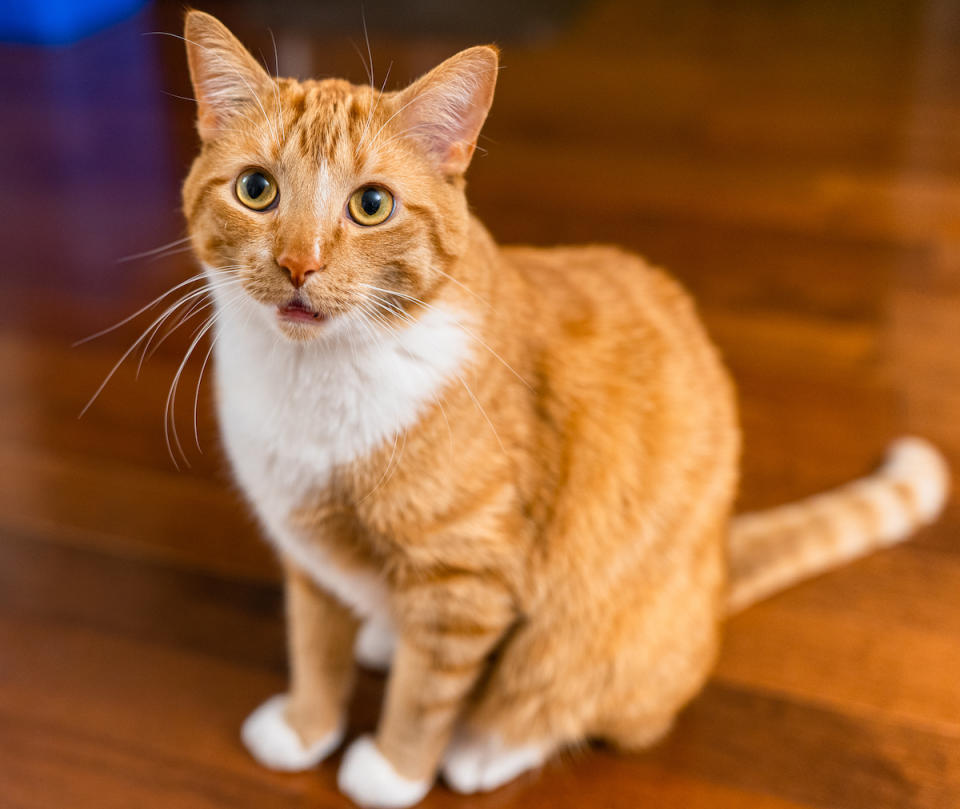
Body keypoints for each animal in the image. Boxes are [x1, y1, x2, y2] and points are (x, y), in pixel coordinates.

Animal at [180, 9, 952, 804]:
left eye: (371, 205)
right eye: (256, 189)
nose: (298, 265)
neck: (310, 384)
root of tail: (717, 571)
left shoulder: (465, 583)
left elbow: (425, 695)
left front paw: (393, 770)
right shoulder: (306, 551)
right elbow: (313, 645)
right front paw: (306, 727)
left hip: (598, 645)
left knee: (574, 698)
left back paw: (486, 746)